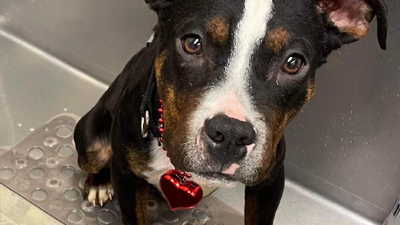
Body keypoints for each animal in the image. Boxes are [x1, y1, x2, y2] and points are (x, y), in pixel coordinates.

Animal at [72, 0, 388, 224]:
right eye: (193, 43)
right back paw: (99, 183)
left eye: (293, 63)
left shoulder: (269, 182)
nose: (232, 134)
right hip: (91, 142)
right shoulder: (127, 178)